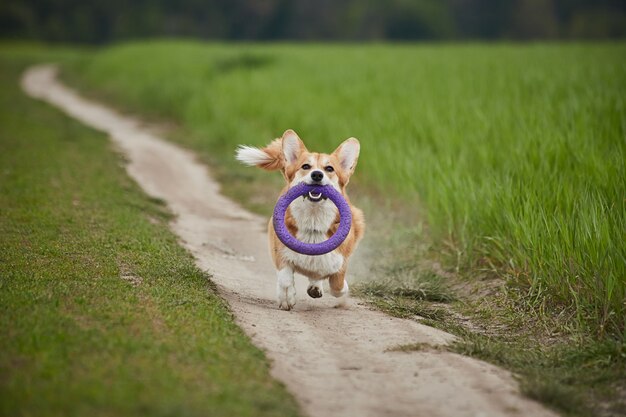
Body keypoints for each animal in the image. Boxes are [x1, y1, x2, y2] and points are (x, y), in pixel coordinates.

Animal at [234, 130, 364, 308]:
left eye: (329, 168)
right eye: (305, 166)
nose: (317, 174)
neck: (313, 222)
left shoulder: (339, 261)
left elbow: (337, 285)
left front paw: (342, 288)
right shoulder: (280, 252)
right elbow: (285, 278)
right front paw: (286, 298)